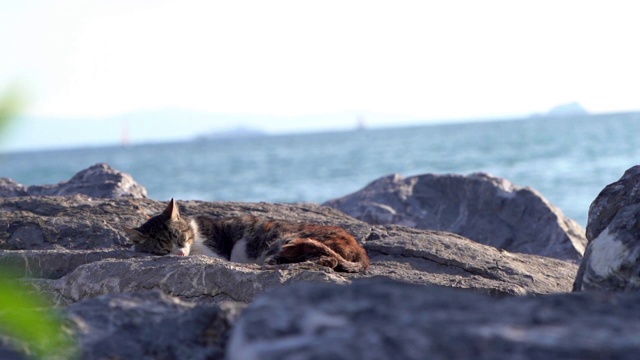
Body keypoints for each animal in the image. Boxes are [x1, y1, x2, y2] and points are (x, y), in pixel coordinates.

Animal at [123, 200, 370, 272]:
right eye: (163, 248)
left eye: (180, 239)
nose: (181, 253)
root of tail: (361, 249)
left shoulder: (216, 254)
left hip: (290, 237)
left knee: (331, 259)